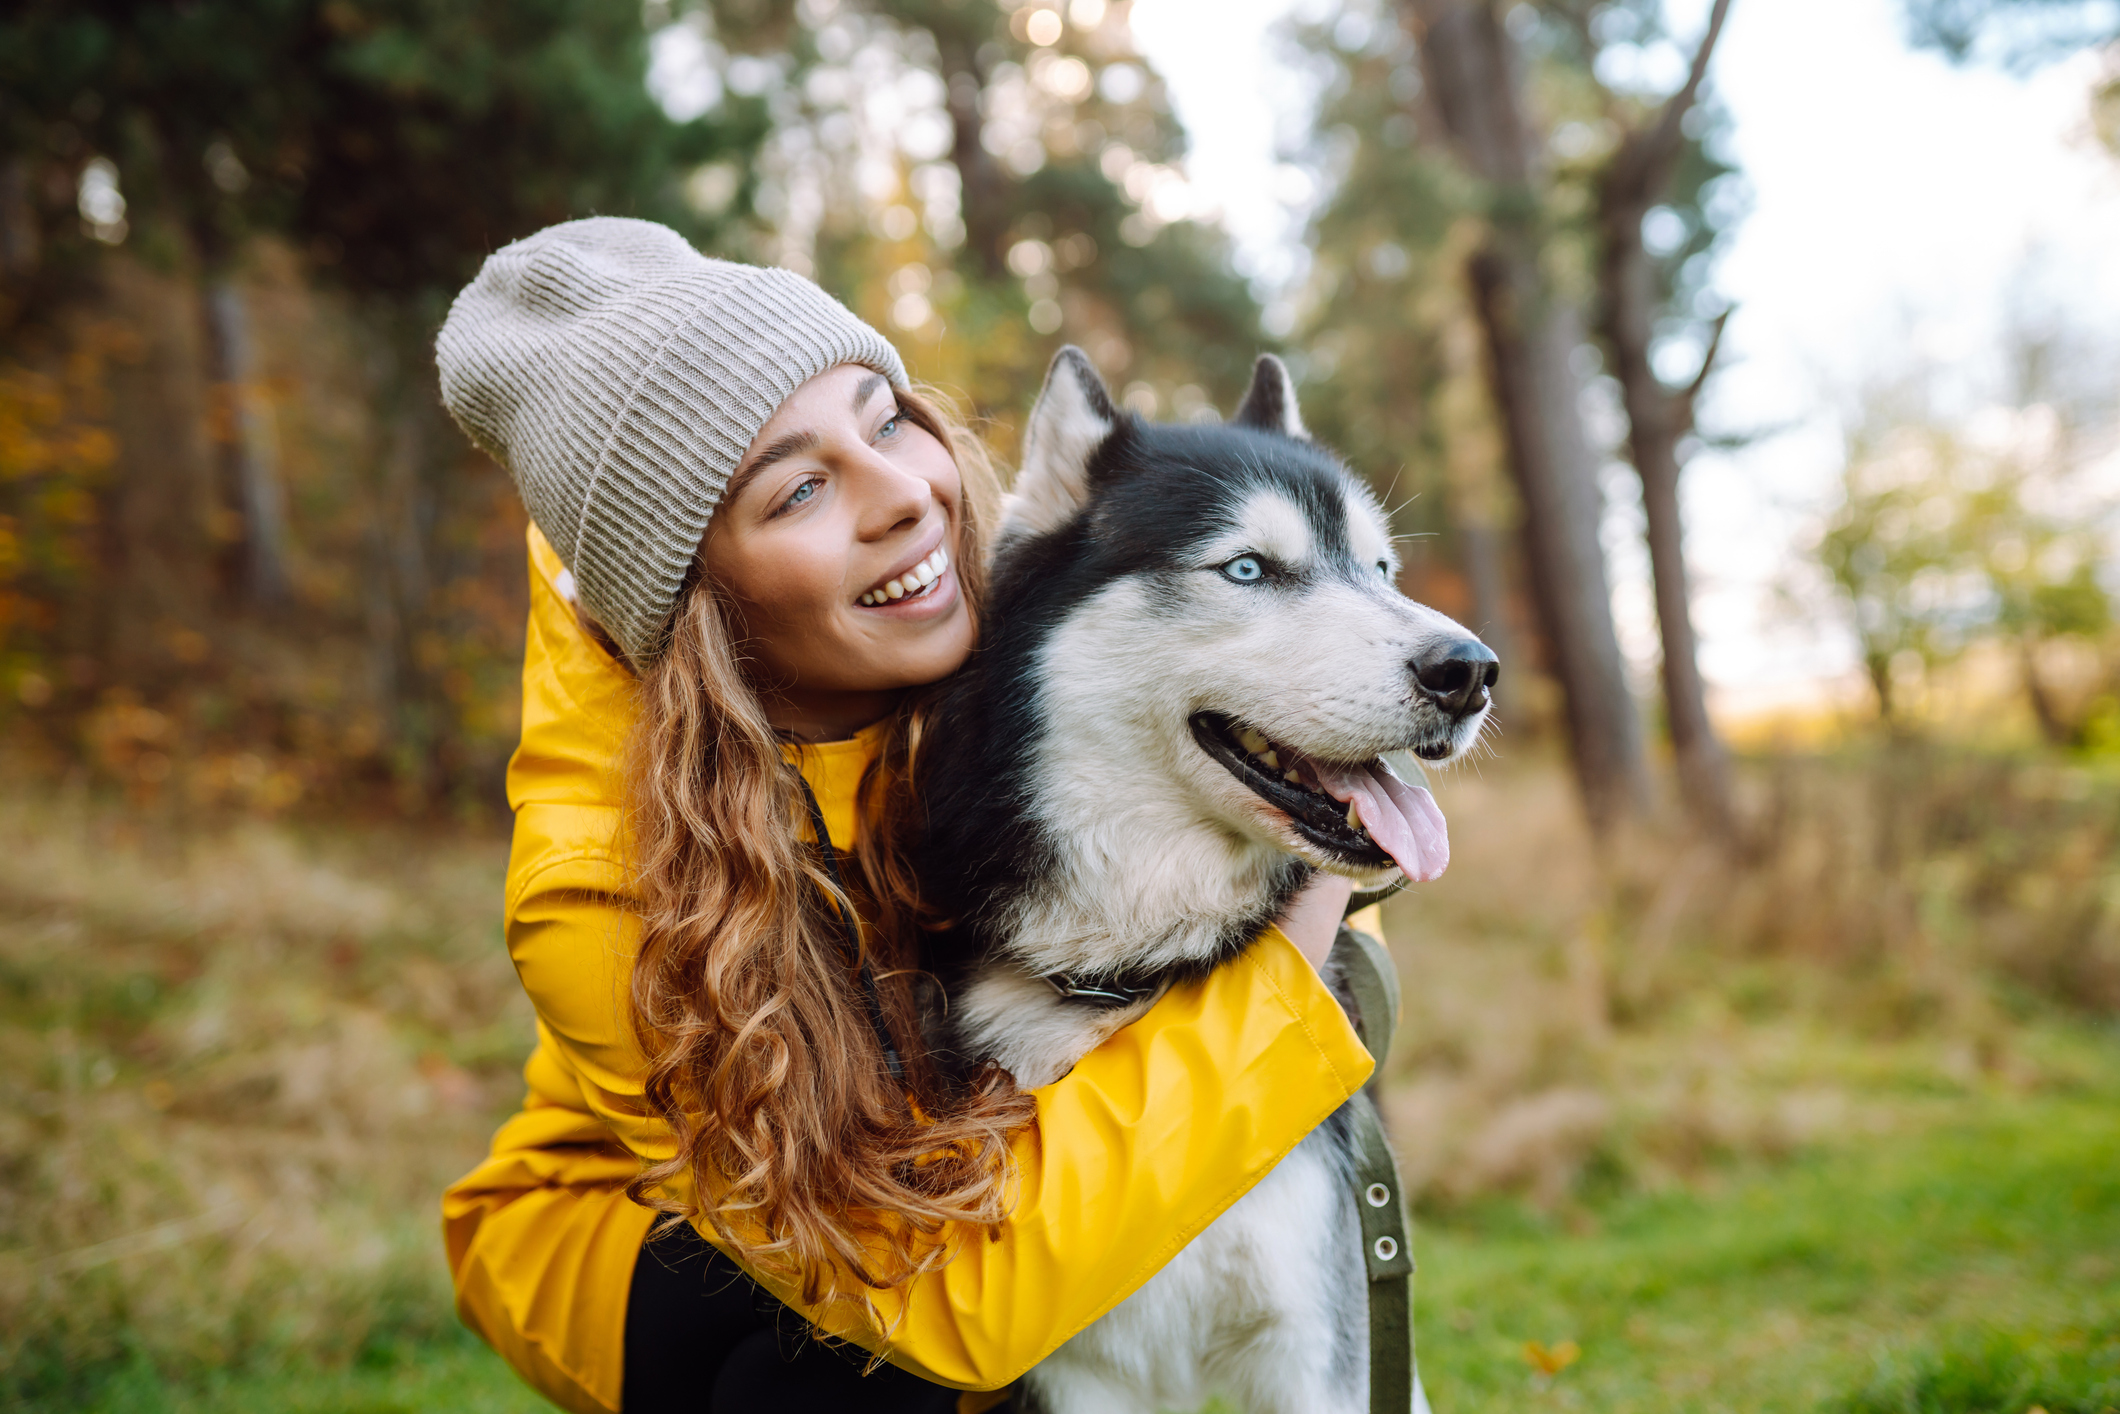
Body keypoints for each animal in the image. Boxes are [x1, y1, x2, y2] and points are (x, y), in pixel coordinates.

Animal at [920, 345, 1500, 1414]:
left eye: (1382, 571)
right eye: (1246, 569)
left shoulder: (1320, 1350)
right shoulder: (1075, 1374)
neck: (1148, 977)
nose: (1472, 669)